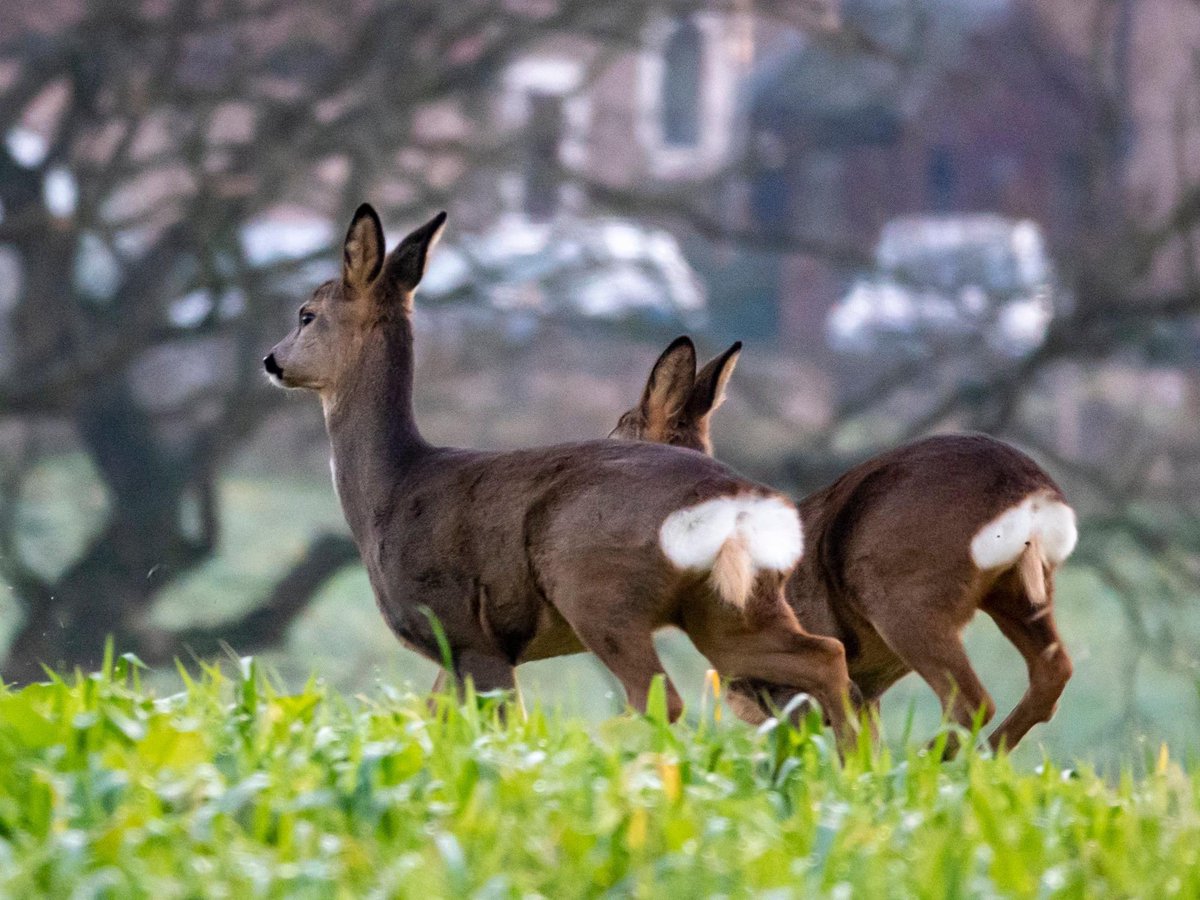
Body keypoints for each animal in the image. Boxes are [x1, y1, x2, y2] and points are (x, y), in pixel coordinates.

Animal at [263, 205, 859, 736]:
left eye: (306, 314)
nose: (271, 360)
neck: (393, 488)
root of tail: (734, 505)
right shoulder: (464, 650)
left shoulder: (465, 629)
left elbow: (497, 725)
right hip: (729, 608)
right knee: (824, 658)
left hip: (597, 590)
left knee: (660, 697)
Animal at [611, 336, 1077, 752]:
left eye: (614, 445)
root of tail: (1026, 490)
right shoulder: (860, 694)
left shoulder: (790, 692)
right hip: (1020, 590)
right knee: (1052, 674)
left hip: (904, 592)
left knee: (971, 699)